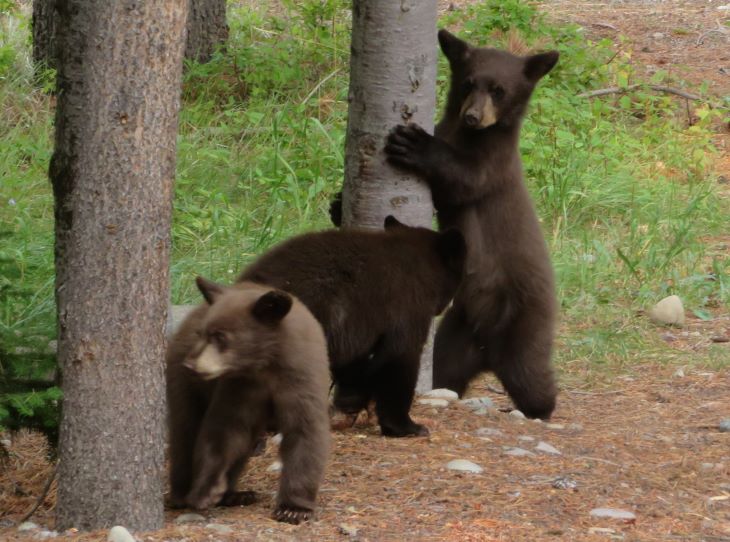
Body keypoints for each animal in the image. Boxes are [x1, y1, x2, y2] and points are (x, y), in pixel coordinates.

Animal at [166, 278, 331, 524]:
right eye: (202, 333)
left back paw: (236, 494)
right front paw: (206, 490)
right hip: (185, 386)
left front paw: (294, 509)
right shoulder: (240, 388)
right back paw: (183, 494)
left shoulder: (300, 381)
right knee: (186, 430)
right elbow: (224, 430)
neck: (265, 365)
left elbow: (304, 432)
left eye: (220, 336)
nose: (190, 365)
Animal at [239, 216, 466, 437]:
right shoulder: (407, 308)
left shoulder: (353, 329)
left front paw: (352, 404)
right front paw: (407, 427)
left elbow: (355, 364)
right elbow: (399, 359)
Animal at [383, 30, 559, 419]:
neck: (469, 135)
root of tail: (487, 355)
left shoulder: (494, 163)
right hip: (455, 334)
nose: (473, 117)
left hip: (525, 324)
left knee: (532, 375)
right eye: (468, 83)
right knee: (445, 370)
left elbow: (464, 179)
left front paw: (413, 143)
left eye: (499, 90)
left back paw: (540, 409)